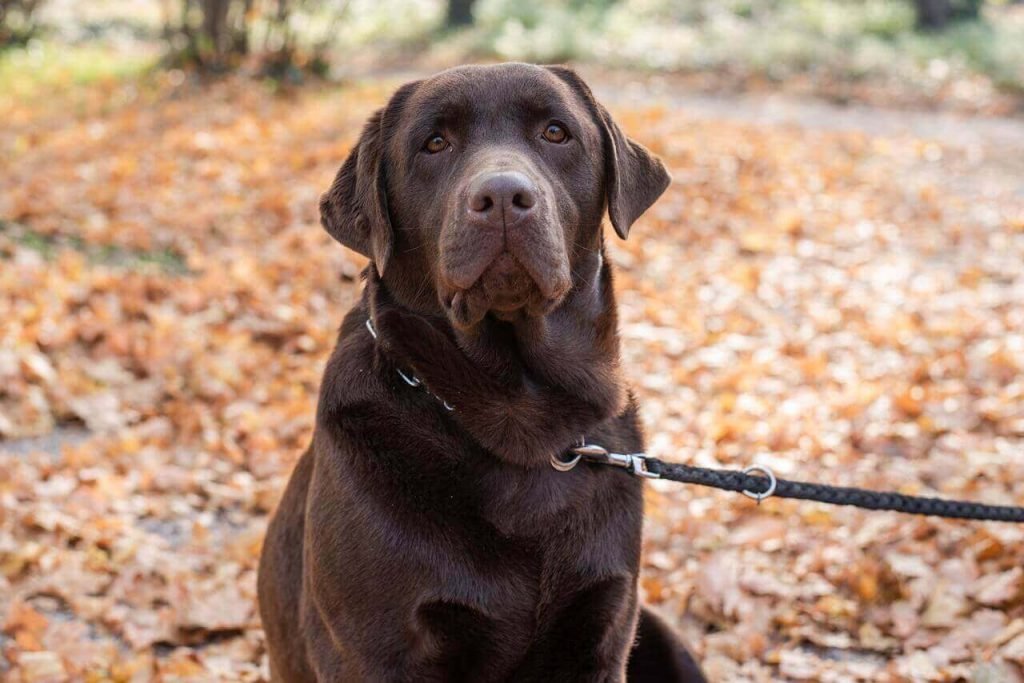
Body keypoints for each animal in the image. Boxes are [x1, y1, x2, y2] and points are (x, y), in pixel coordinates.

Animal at [258, 61, 704, 679]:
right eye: (434, 143)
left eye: (556, 132)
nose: (502, 196)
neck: (520, 417)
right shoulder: (373, 650)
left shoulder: (605, 627)